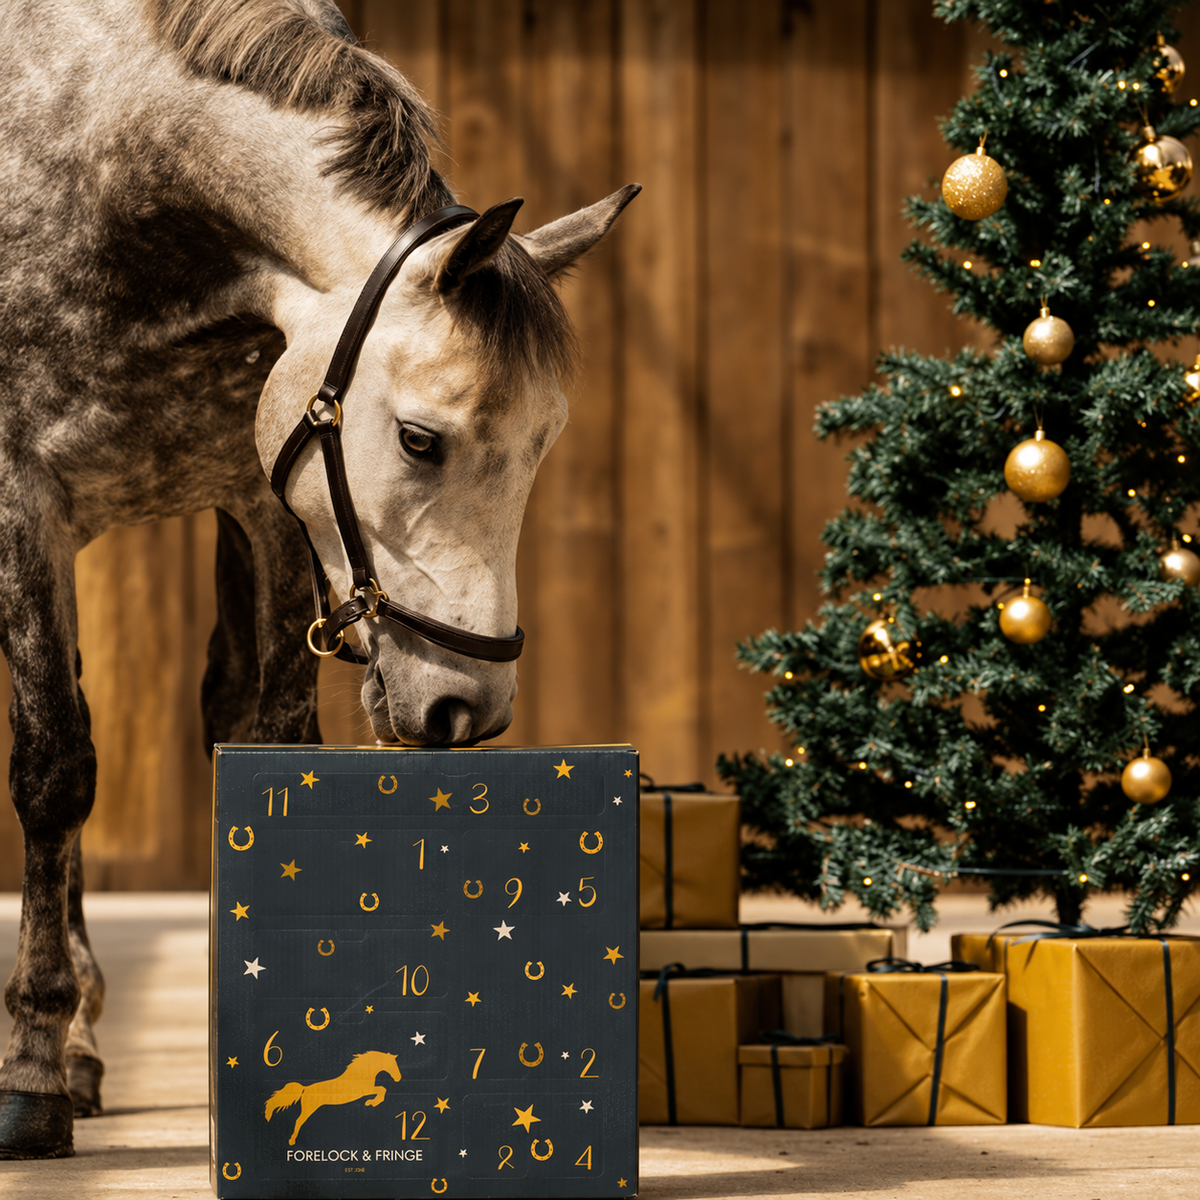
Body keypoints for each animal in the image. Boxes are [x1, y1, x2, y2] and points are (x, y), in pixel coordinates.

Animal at [265, 1050, 400, 1146]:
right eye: (392, 1064)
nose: (398, 1078)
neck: (360, 1075)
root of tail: (305, 1088)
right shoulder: (365, 1091)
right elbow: (382, 1089)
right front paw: (372, 1102)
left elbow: (382, 1089)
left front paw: (371, 1103)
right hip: (309, 1109)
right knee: (299, 1121)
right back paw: (292, 1141)